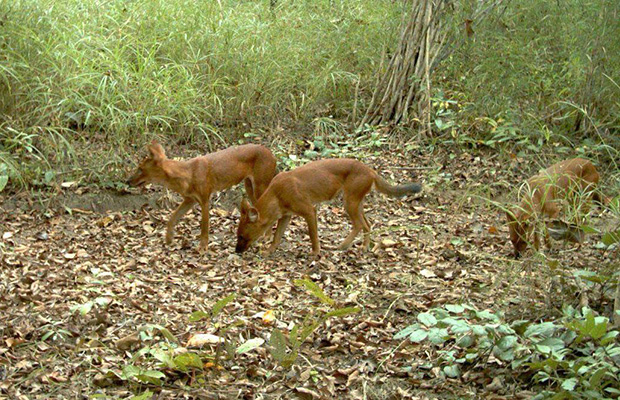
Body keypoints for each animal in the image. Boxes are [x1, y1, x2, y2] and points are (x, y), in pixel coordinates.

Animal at [127, 141, 274, 252]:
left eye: (140, 169)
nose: (127, 181)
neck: (186, 174)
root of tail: (269, 151)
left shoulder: (204, 200)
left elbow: (204, 227)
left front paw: (203, 247)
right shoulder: (189, 200)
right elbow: (172, 218)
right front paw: (169, 238)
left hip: (260, 188)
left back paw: (267, 237)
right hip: (249, 188)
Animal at [236, 158, 422, 258]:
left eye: (243, 236)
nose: (237, 251)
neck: (276, 194)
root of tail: (371, 170)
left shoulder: (309, 210)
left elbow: (313, 235)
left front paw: (315, 252)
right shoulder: (286, 215)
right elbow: (276, 237)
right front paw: (268, 251)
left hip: (349, 202)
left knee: (359, 224)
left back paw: (342, 246)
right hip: (356, 202)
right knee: (367, 224)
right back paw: (363, 247)